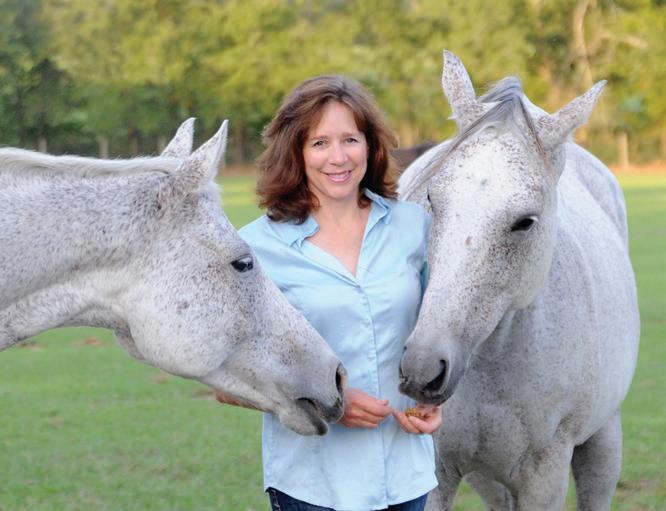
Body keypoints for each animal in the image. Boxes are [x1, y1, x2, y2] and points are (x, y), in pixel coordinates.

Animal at [398, 51, 639, 510]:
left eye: (525, 221)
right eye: (431, 199)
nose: (422, 368)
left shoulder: (544, 479)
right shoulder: (435, 475)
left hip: (604, 444)